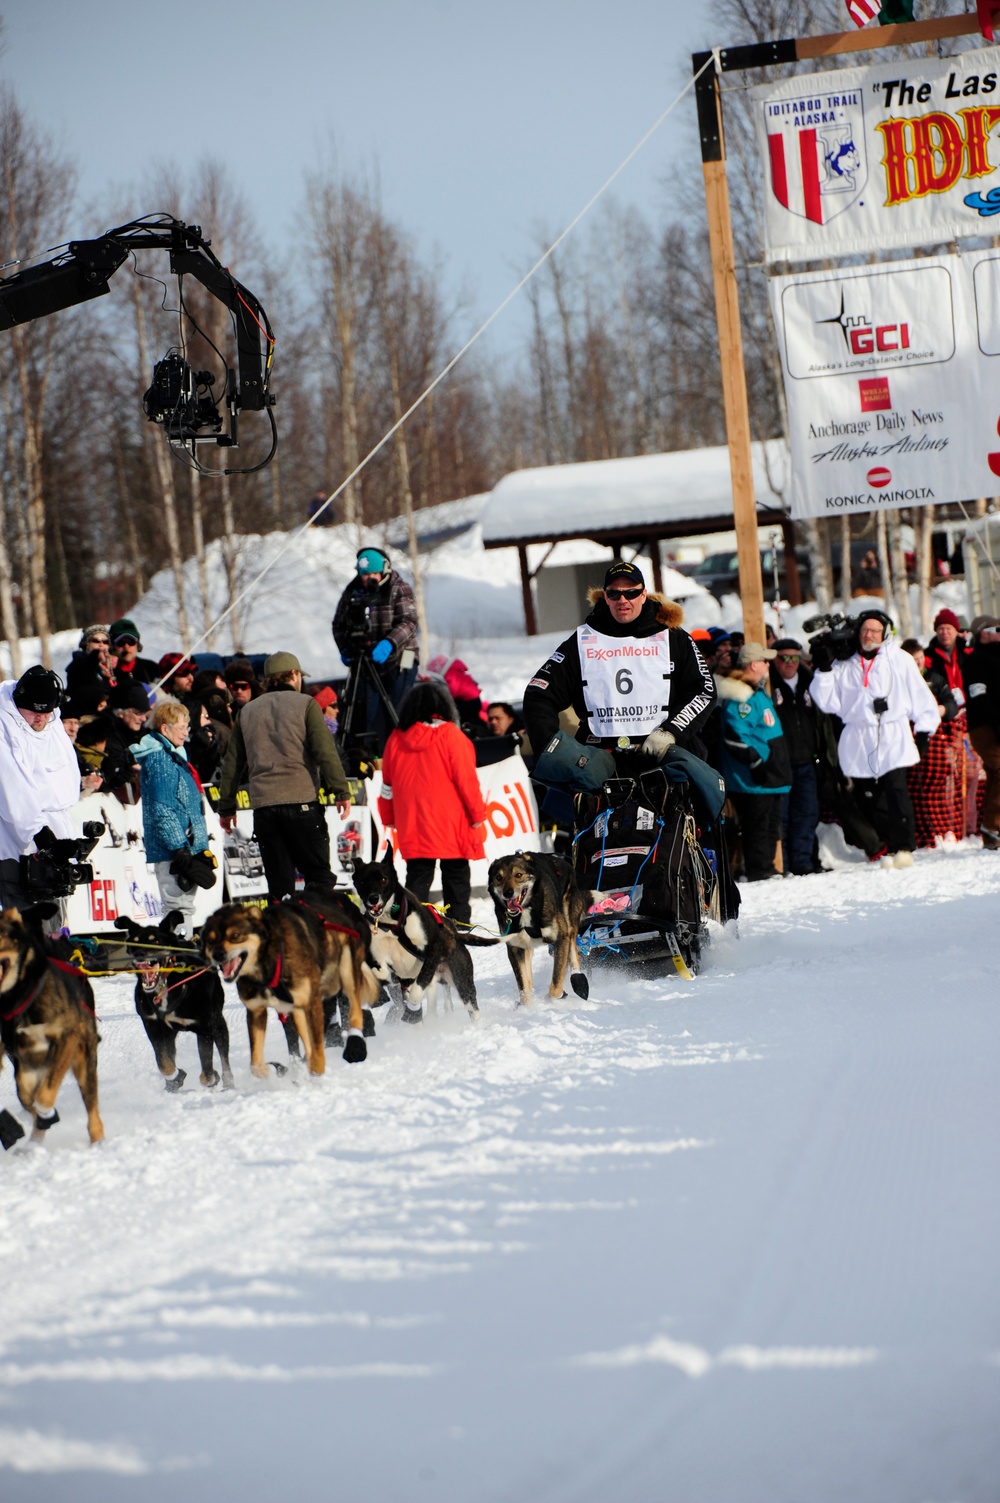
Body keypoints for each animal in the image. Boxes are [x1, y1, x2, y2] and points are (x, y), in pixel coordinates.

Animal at [487, 853, 589, 1004]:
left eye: (518, 875)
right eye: (499, 877)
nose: (508, 892)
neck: (526, 911)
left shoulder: (561, 937)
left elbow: (556, 981)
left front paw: (556, 995)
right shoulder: (515, 948)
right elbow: (523, 984)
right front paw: (526, 1006)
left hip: (570, 921)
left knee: (573, 949)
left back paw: (578, 979)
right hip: (527, 946)